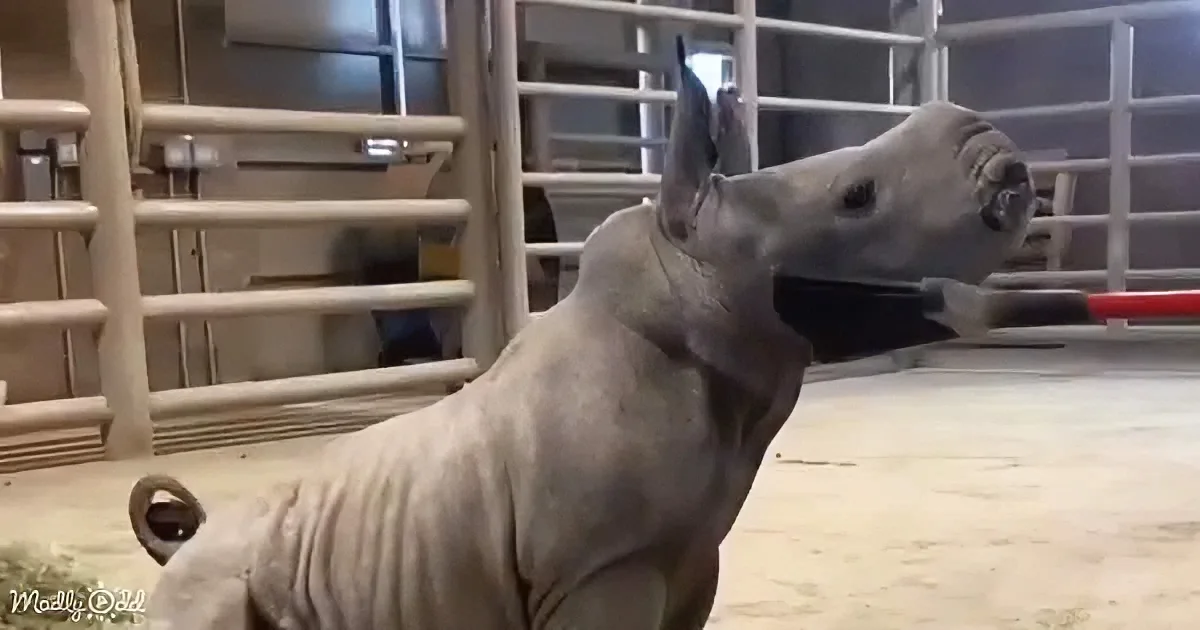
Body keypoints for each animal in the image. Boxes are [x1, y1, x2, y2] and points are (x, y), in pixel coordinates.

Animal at [128, 39, 1095, 629]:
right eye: (857, 198)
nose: (1009, 172)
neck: (692, 282)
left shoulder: (685, 554)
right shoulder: (598, 566)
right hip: (211, 581)